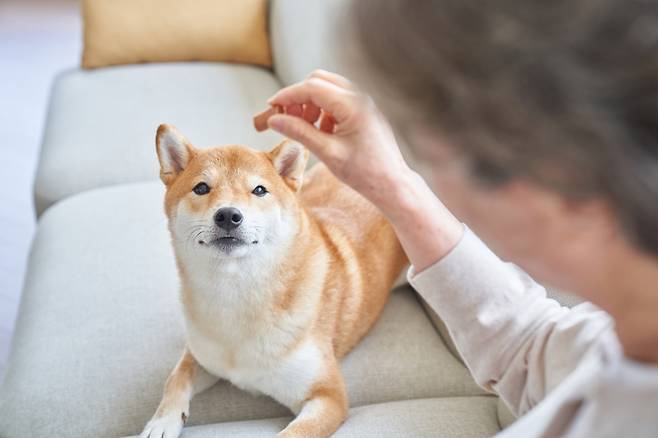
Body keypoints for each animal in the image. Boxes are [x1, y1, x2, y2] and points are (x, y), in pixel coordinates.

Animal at [139, 124, 404, 438]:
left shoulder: (327, 395)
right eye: (201, 188)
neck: (234, 296)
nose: (228, 215)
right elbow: (175, 379)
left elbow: (293, 433)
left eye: (259, 190)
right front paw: (161, 422)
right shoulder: (201, 354)